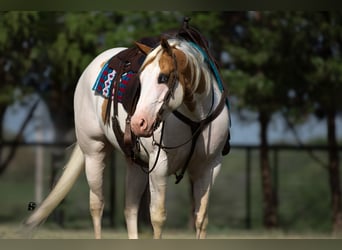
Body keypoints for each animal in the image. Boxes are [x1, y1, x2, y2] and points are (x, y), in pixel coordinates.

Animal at [22, 24, 230, 239]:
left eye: (163, 77)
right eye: (141, 80)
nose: (139, 123)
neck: (196, 117)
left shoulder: (209, 166)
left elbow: (201, 219)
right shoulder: (160, 164)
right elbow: (158, 217)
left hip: (136, 164)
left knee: (130, 209)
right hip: (94, 152)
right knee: (97, 206)